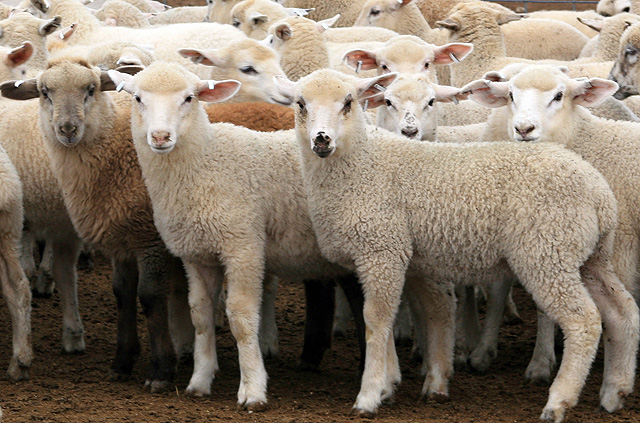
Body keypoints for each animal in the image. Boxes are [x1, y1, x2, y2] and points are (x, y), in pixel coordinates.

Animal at [106, 60, 370, 408]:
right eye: (137, 98)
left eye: (189, 98)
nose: (160, 136)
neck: (206, 164)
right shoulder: (198, 254)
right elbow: (200, 315)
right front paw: (200, 381)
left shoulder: (243, 246)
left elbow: (242, 318)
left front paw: (253, 390)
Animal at [274, 67, 640, 422]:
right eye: (300, 104)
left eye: (348, 102)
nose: (321, 139)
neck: (360, 164)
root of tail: (598, 190)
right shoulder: (393, 258)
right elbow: (391, 319)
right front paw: (390, 385)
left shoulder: (381, 251)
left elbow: (376, 320)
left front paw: (369, 395)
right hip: (589, 257)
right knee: (622, 312)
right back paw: (614, 393)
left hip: (547, 253)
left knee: (584, 322)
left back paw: (558, 401)